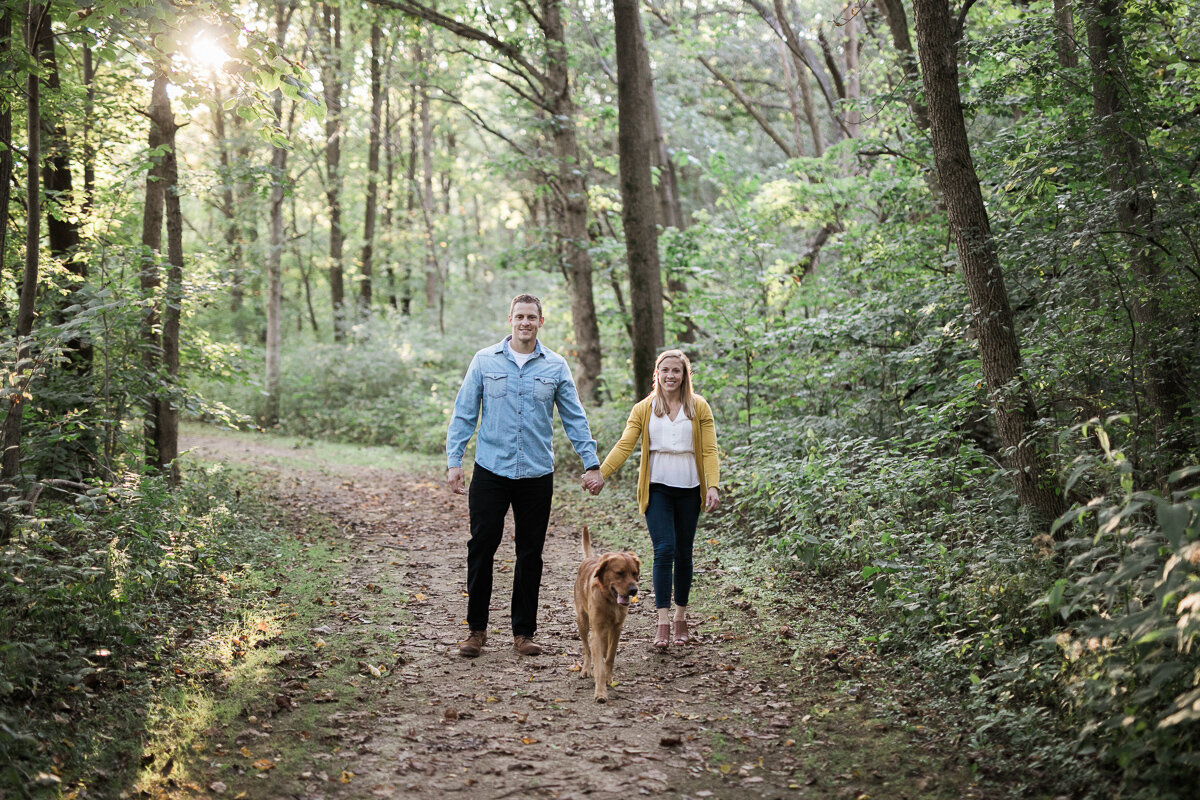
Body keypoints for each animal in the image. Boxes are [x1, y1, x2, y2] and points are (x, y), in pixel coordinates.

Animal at [571, 527, 638, 705]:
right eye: (619, 573)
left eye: (635, 573)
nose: (634, 590)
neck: (610, 600)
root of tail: (589, 558)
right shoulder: (596, 631)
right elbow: (598, 663)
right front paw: (600, 692)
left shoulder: (616, 629)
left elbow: (610, 656)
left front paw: (608, 678)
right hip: (582, 621)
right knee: (586, 648)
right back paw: (586, 669)